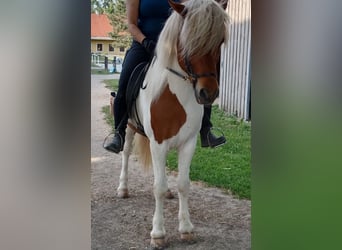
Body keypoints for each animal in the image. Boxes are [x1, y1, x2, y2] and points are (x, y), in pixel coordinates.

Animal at [117, 0, 230, 247]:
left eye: (220, 41)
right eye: (188, 42)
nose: (208, 93)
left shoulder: (188, 142)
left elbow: (183, 184)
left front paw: (186, 229)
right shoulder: (158, 142)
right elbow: (157, 188)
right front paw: (158, 233)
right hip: (129, 128)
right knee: (126, 153)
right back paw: (122, 188)